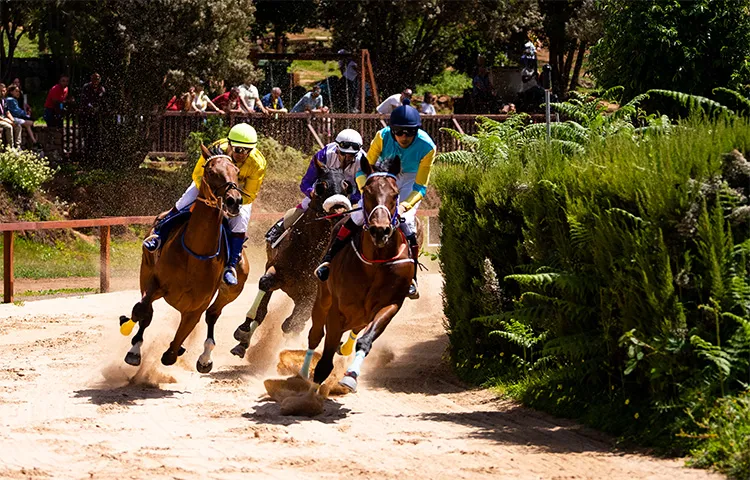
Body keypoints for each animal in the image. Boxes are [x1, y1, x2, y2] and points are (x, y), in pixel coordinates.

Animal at [119, 144, 250, 373]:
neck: (195, 254)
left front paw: (179, 350)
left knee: (213, 314)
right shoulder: (155, 282)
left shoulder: (195, 307)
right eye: (210, 172)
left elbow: (173, 348)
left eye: (236, 171)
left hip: (232, 290)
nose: (234, 201)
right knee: (146, 312)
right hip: (145, 268)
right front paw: (132, 345)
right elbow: (142, 310)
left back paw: (205, 357)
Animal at [229, 159, 353, 359]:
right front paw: (243, 331)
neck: (309, 249)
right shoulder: (275, 268)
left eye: (347, 187)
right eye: (321, 186)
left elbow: (291, 324)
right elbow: (264, 289)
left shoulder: (311, 294)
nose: (340, 212)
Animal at [300, 155, 415, 392]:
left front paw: (350, 376)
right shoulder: (337, 306)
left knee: (355, 330)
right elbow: (325, 357)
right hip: (322, 299)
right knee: (315, 334)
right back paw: (303, 373)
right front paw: (312, 392)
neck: (376, 263)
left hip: (362, 314)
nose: (380, 230)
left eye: (395, 194)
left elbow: (366, 339)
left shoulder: (391, 304)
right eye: (367, 192)